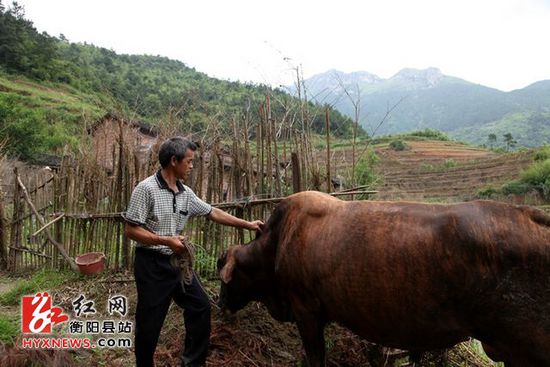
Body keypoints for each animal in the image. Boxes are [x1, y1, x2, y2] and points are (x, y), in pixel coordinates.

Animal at [218, 191, 550, 366]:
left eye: (225, 276)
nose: (220, 304)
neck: (277, 243)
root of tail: (532, 215)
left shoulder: (306, 311)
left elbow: (316, 355)